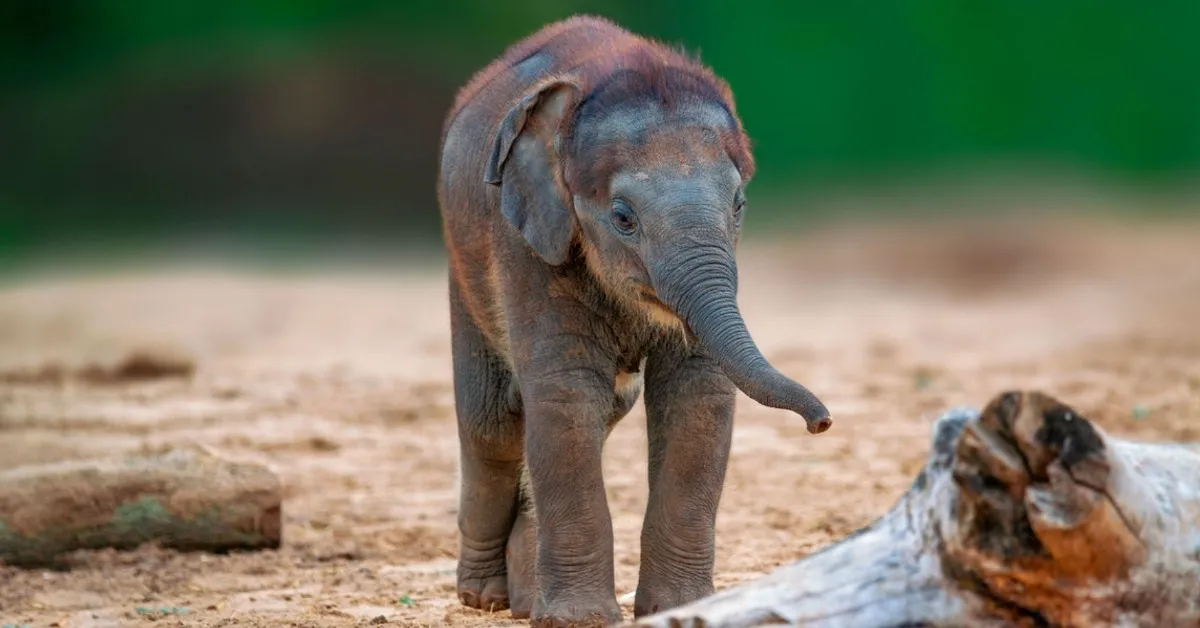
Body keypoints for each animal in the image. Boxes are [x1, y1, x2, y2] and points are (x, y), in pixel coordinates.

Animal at [437, 14, 832, 627]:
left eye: (739, 205)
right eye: (622, 217)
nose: (822, 423)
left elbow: (698, 392)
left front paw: (683, 608)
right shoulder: (527, 241)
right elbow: (567, 392)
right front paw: (580, 620)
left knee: (608, 404)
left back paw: (526, 600)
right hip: (464, 267)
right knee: (494, 422)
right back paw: (485, 597)